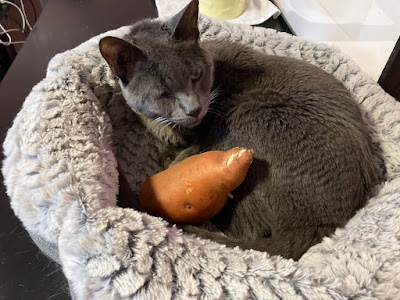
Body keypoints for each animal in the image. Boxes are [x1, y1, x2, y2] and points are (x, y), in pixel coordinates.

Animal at [99, 0, 382, 258]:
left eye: (196, 75)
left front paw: (169, 158)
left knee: (247, 229)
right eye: (163, 93)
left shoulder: (207, 138)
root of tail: (323, 225)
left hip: (249, 117)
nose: (194, 109)